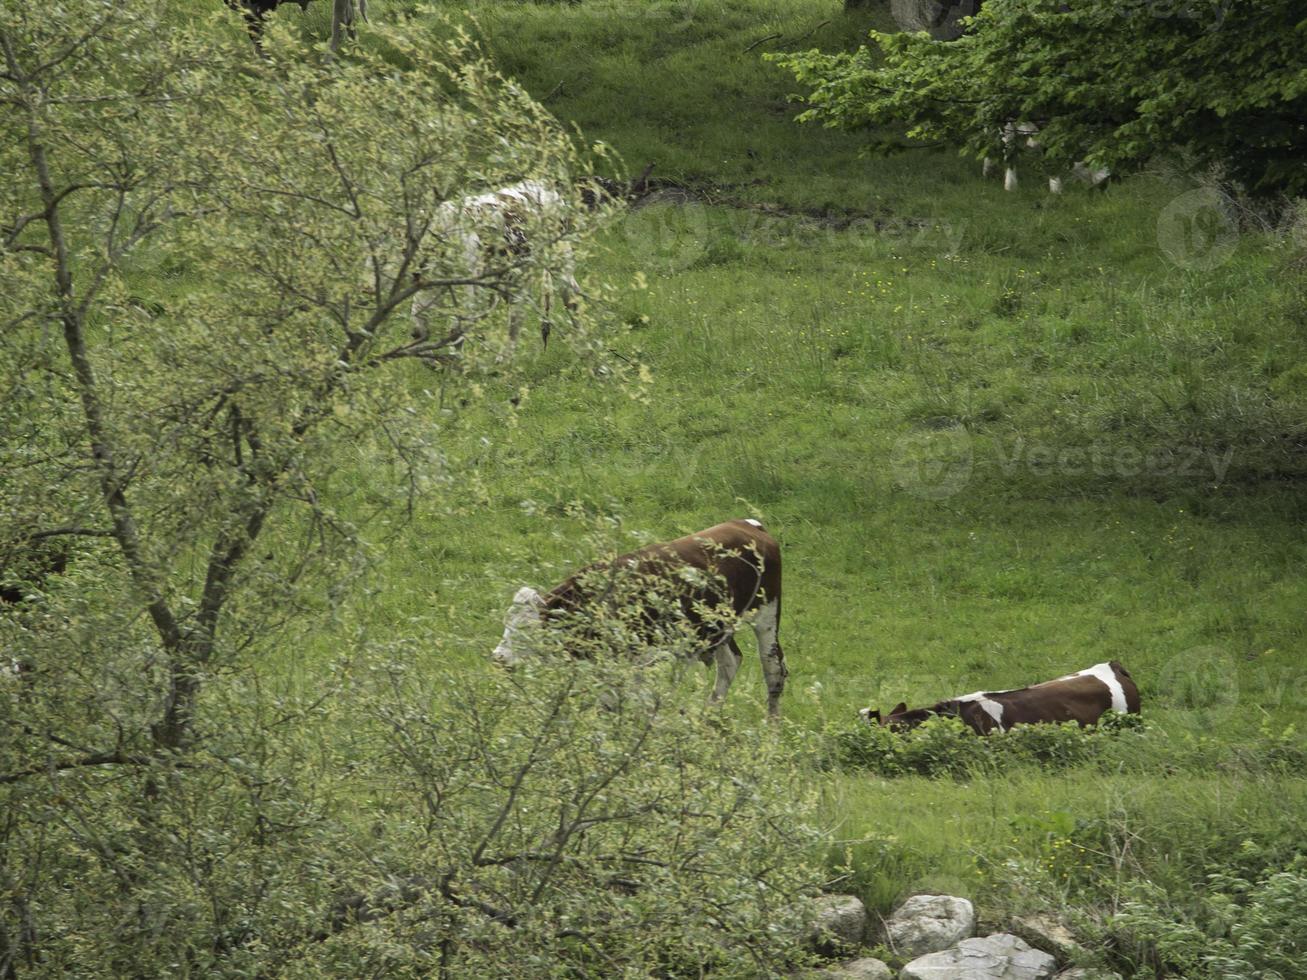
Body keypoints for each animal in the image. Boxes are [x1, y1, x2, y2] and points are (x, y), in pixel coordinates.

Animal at [413, 179, 582, 360]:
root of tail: (543, 184)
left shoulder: (467, 284)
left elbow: (457, 327)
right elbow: (419, 321)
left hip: (560, 260)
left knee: (569, 299)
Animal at [491, 522, 784, 721]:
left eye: (527, 630)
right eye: (506, 623)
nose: (499, 658)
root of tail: (748, 525)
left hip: (767, 616)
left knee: (774, 671)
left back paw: (771, 728)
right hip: (716, 631)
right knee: (730, 663)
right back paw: (707, 716)